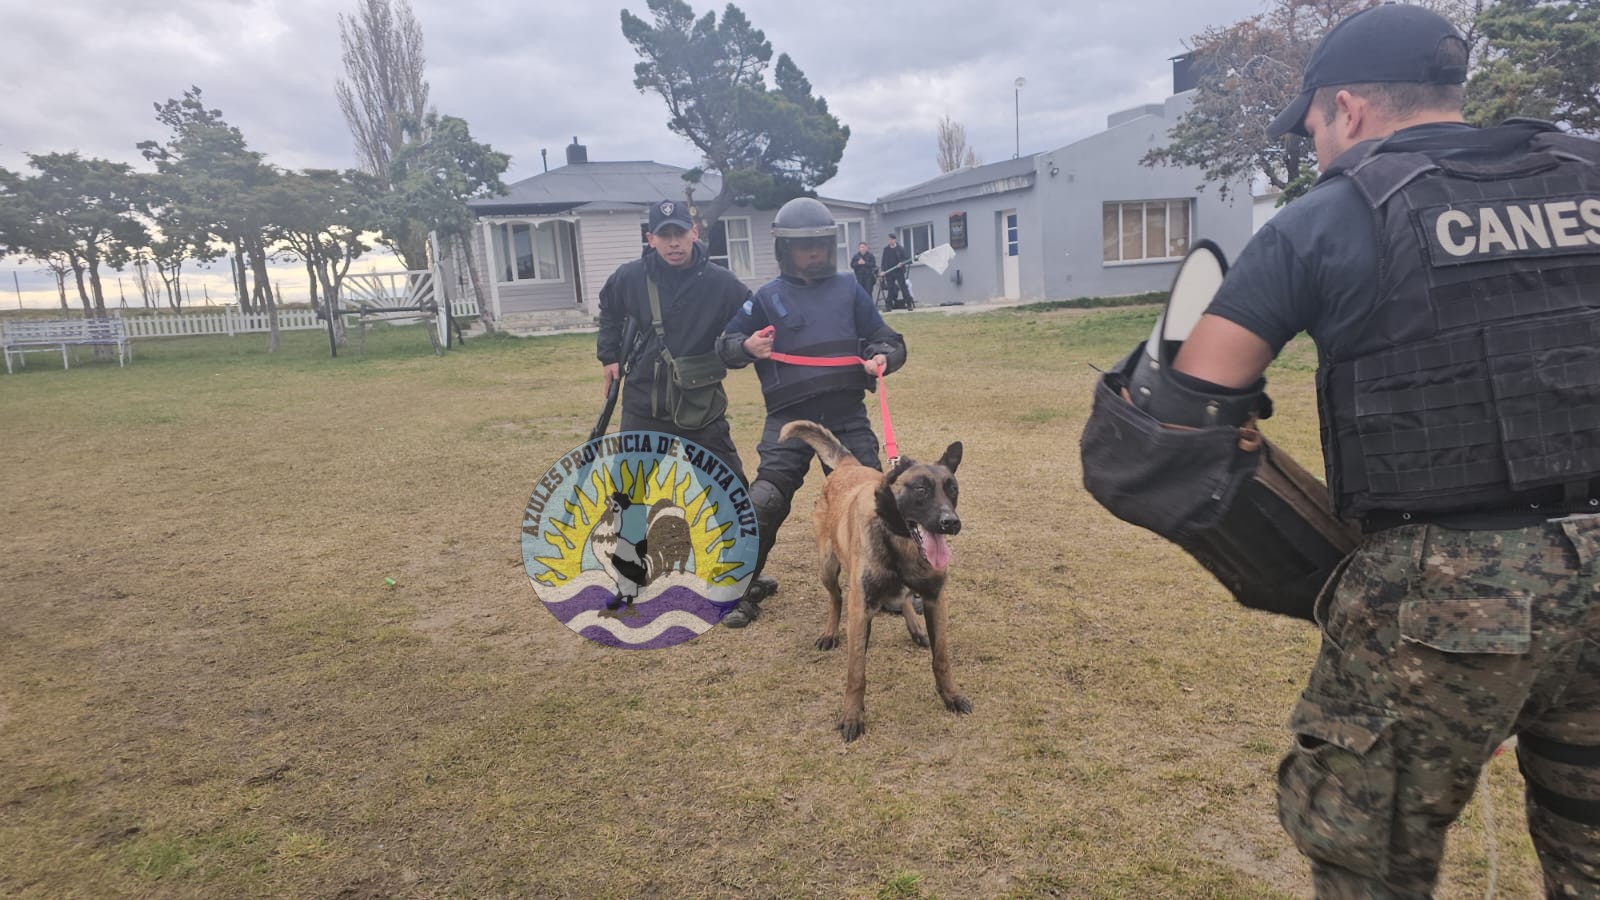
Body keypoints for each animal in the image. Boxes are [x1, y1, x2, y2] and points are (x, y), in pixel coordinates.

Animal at [777, 416, 966, 739]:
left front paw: (950, 696)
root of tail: (848, 465)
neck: (900, 541)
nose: (950, 522)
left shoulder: (935, 599)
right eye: (921, 490)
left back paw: (915, 627)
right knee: (836, 597)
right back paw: (830, 632)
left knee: (902, 597)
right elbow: (856, 673)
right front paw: (852, 716)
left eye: (952, 490)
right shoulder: (860, 605)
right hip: (827, 567)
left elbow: (941, 658)